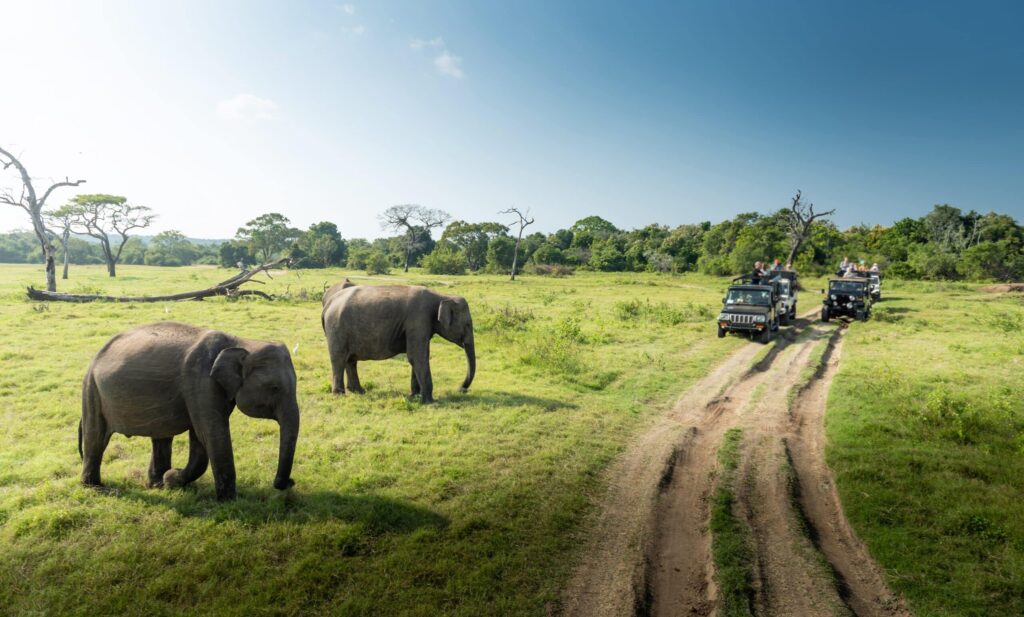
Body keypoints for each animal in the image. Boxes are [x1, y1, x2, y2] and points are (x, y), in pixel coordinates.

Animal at [79, 321, 300, 501]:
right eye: (275, 388)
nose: (290, 482)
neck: (241, 342)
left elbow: (200, 436)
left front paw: (171, 480)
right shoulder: (201, 381)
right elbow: (211, 434)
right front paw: (228, 502)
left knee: (161, 436)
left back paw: (156, 484)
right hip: (92, 390)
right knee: (96, 437)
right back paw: (97, 489)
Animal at [321, 281, 475, 403]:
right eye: (468, 325)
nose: (461, 389)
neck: (442, 296)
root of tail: (328, 303)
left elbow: (418, 356)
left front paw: (414, 396)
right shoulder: (418, 320)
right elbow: (417, 356)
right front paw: (429, 401)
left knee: (350, 360)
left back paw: (358, 391)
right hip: (336, 328)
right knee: (339, 359)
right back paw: (339, 395)